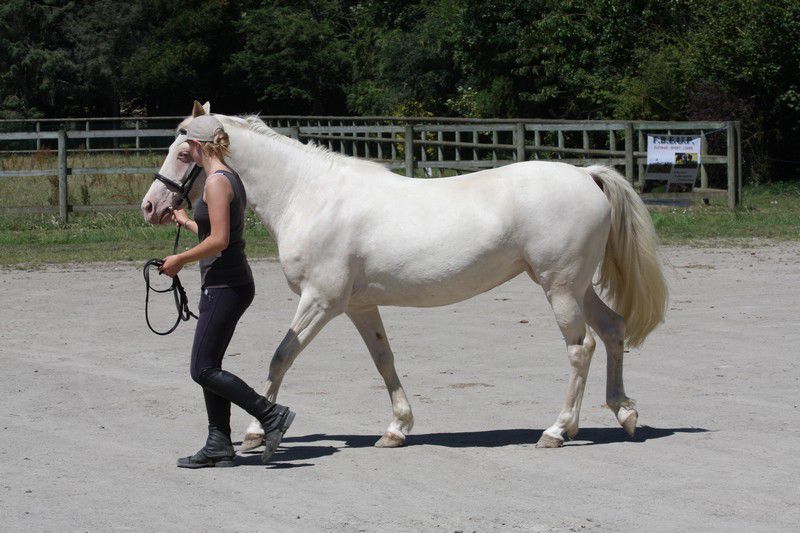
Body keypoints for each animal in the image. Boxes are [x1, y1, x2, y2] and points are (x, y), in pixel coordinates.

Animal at [141, 101, 667, 450]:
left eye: (185, 154)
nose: (152, 206)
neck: (310, 195)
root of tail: (585, 175)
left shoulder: (321, 301)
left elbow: (281, 356)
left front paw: (256, 430)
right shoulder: (358, 305)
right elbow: (384, 360)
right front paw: (396, 429)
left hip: (560, 289)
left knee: (581, 349)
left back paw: (557, 430)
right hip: (577, 288)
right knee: (613, 330)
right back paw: (624, 414)